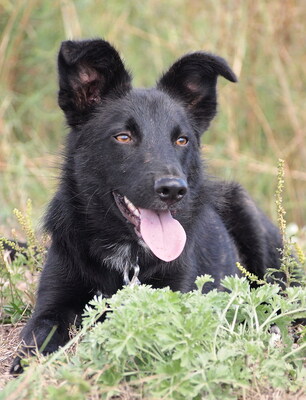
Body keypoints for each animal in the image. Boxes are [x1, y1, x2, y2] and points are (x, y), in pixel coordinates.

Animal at [10, 39, 280, 374]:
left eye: (182, 140)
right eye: (123, 137)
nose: (174, 190)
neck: (127, 256)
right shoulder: (51, 303)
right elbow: (38, 335)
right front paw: (25, 367)